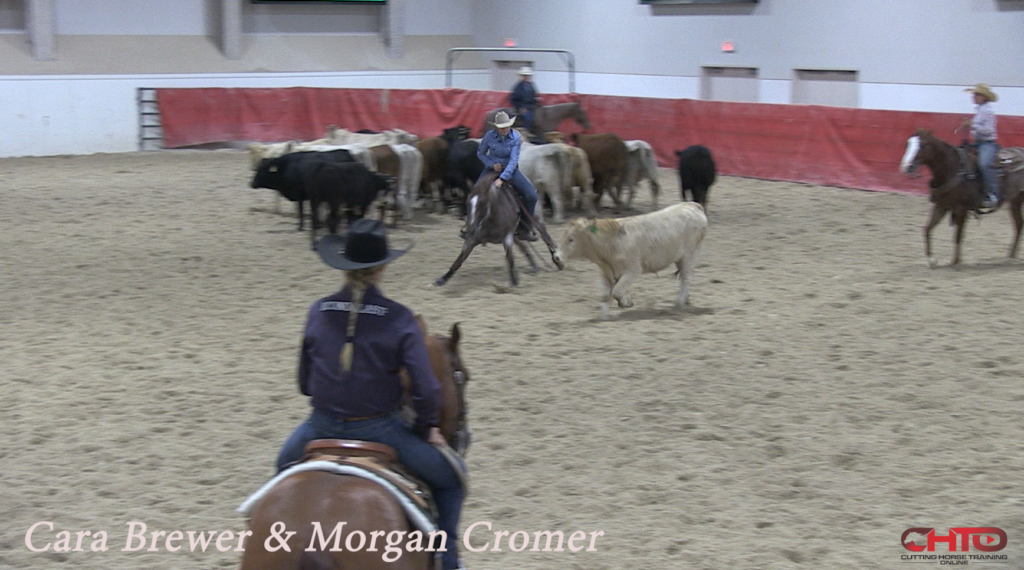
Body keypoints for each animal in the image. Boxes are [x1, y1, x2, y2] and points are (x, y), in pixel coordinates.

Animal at [435, 171, 564, 287]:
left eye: (482, 202)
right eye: (468, 202)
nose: (470, 229)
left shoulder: (507, 237)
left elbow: (510, 257)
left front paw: (514, 280)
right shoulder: (473, 238)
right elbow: (460, 258)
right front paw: (442, 279)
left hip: (533, 218)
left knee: (544, 234)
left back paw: (558, 259)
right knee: (523, 245)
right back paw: (535, 265)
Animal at [899, 128, 1004, 267]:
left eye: (923, 144)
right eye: (908, 143)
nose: (906, 167)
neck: (952, 169)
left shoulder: (961, 210)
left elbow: (958, 235)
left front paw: (956, 262)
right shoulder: (941, 206)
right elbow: (927, 229)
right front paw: (932, 259)